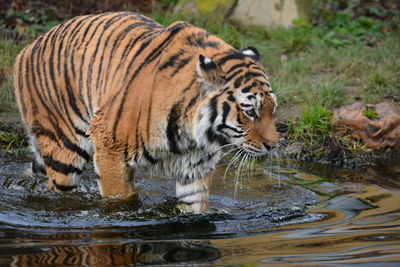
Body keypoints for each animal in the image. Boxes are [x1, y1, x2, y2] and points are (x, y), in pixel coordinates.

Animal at [14, 11, 278, 215]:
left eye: (272, 109)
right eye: (250, 112)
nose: (274, 146)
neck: (194, 135)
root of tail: (26, 49)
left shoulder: (195, 169)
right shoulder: (109, 145)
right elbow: (119, 199)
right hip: (65, 152)